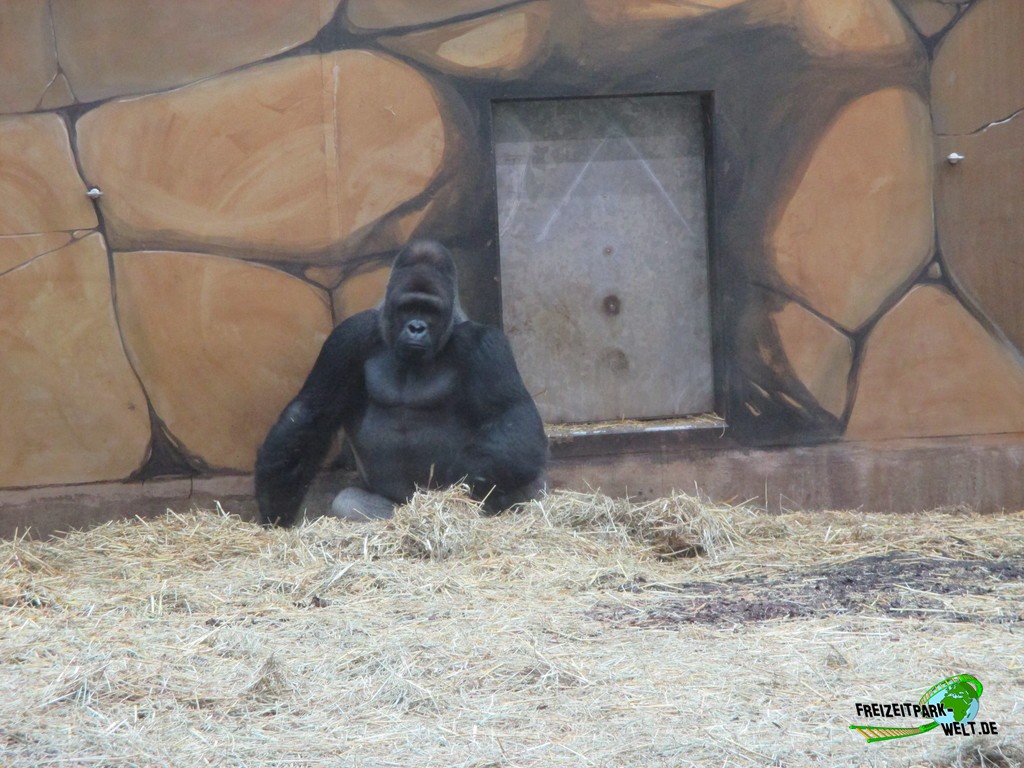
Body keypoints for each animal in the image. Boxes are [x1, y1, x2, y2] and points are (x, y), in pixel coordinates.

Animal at [254, 240, 548, 528]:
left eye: (430, 310)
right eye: (408, 307)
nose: (416, 327)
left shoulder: (485, 345)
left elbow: (514, 419)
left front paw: (460, 481)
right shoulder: (348, 337)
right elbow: (310, 412)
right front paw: (275, 504)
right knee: (348, 502)